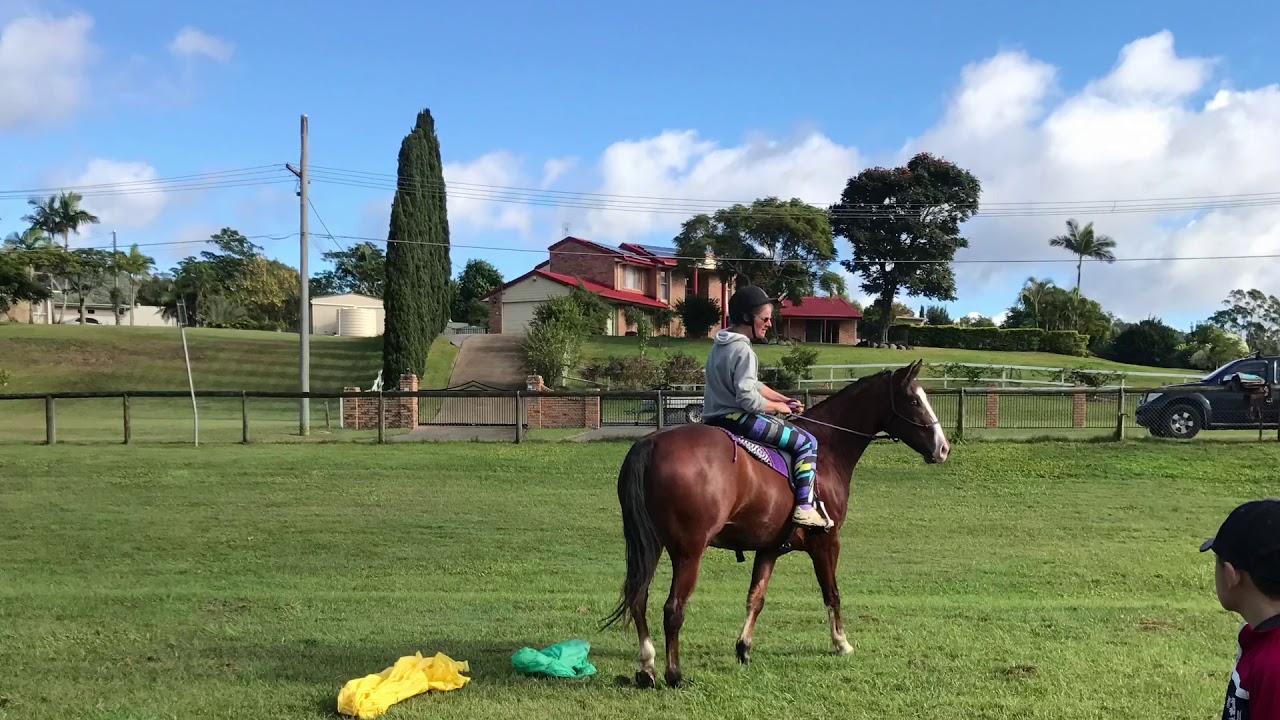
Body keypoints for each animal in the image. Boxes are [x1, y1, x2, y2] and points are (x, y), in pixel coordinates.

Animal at [601, 360, 950, 689]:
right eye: (913, 400)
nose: (943, 447)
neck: (828, 448)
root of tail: (650, 444)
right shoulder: (827, 542)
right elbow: (832, 593)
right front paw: (842, 643)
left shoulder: (768, 548)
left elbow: (756, 598)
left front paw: (744, 648)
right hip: (689, 552)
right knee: (673, 609)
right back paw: (674, 675)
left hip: (651, 545)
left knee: (639, 599)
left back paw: (647, 667)